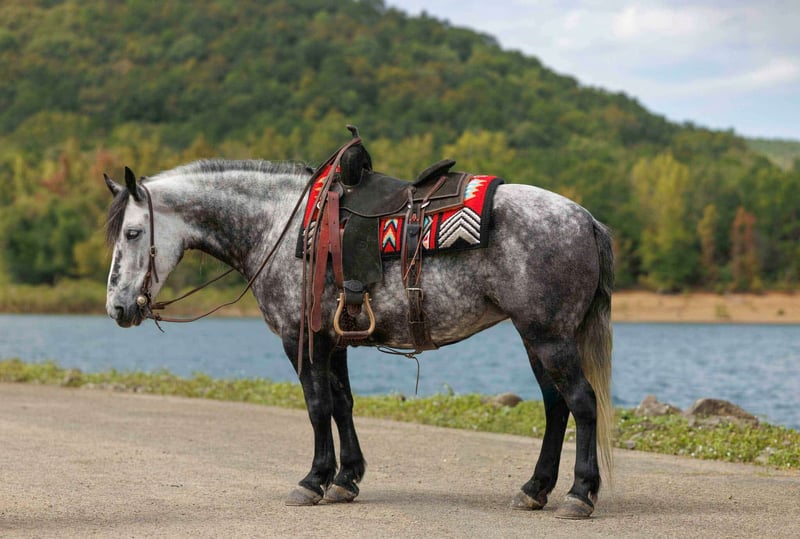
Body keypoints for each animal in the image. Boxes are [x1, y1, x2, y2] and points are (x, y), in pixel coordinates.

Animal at [103, 155, 614, 519]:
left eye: (132, 233)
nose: (118, 308)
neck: (279, 226)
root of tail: (585, 218)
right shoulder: (334, 341)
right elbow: (342, 404)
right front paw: (346, 479)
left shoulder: (301, 338)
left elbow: (317, 407)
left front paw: (313, 480)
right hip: (536, 338)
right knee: (556, 408)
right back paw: (535, 489)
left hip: (549, 337)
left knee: (582, 402)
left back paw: (579, 494)